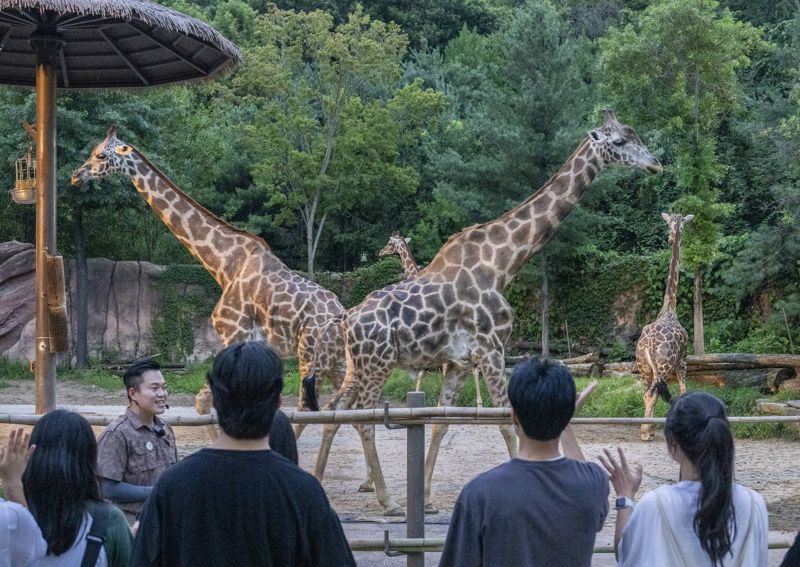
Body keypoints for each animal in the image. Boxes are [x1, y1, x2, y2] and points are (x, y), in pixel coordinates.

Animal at [69, 125, 344, 434]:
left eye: (100, 155)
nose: (76, 175)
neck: (224, 264)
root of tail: (342, 314)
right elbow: (206, 405)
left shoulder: (233, 333)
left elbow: (206, 404)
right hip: (335, 361)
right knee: (344, 407)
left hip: (310, 354)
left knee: (310, 408)